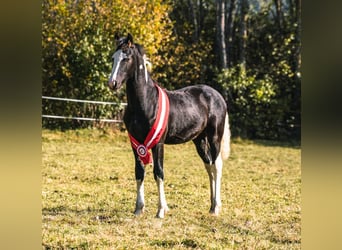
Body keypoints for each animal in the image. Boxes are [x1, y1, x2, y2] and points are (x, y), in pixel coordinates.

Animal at [107, 33, 230, 219]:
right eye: (113, 58)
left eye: (126, 58)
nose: (112, 83)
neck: (146, 102)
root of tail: (217, 96)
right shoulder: (136, 143)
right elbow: (139, 172)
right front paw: (138, 209)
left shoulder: (158, 143)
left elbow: (158, 172)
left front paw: (160, 210)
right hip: (199, 140)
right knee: (209, 166)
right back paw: (211, 206)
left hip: (214, 137)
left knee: (217, 166)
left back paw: (216, 207)